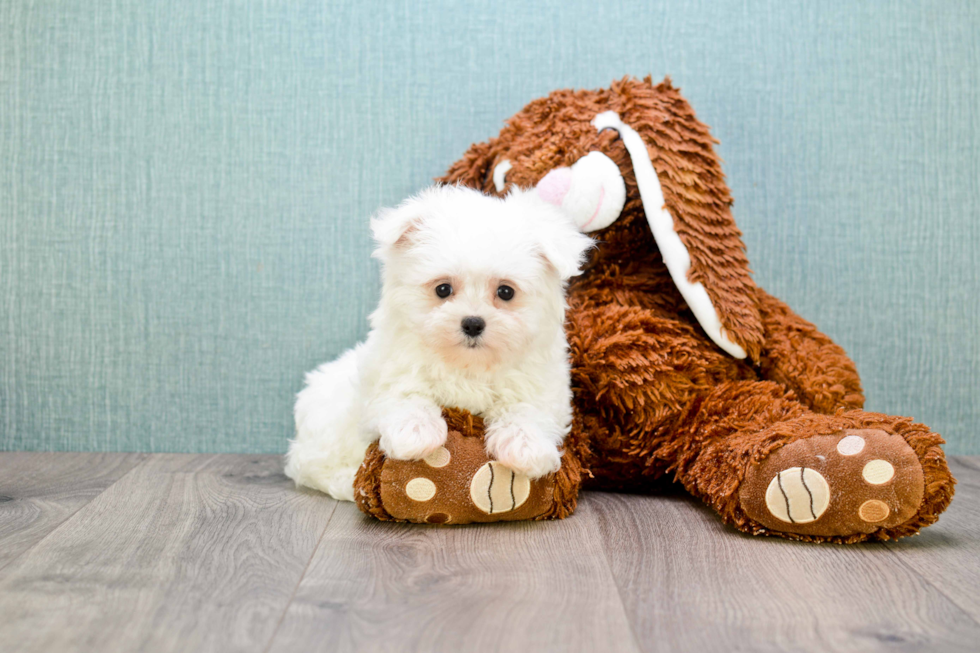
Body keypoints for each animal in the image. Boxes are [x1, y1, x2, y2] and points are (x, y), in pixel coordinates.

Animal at [284, 183, 588, 500]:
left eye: (506, 292)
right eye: (443, 289)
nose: (472, 323)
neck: (468, 365)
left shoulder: (540, 385)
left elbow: (527, 408)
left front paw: (525, 446)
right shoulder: (388, 374)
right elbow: (404, 395)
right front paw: (416, 432)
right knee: (313, 466)